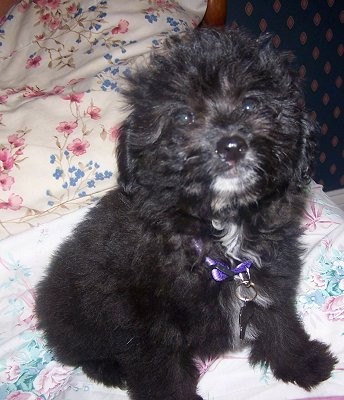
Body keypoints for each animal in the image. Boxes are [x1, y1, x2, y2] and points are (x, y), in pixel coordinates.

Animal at [35, 28, 336, 400]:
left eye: (251, 104)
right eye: (183, 117)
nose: (231, 146)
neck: (218, 232)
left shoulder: (269, 278)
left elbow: (280, 324)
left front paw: (303, 362)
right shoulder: (147, 328)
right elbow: (164, 375)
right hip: (78, 318)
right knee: (83, 353)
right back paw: (109, 371)